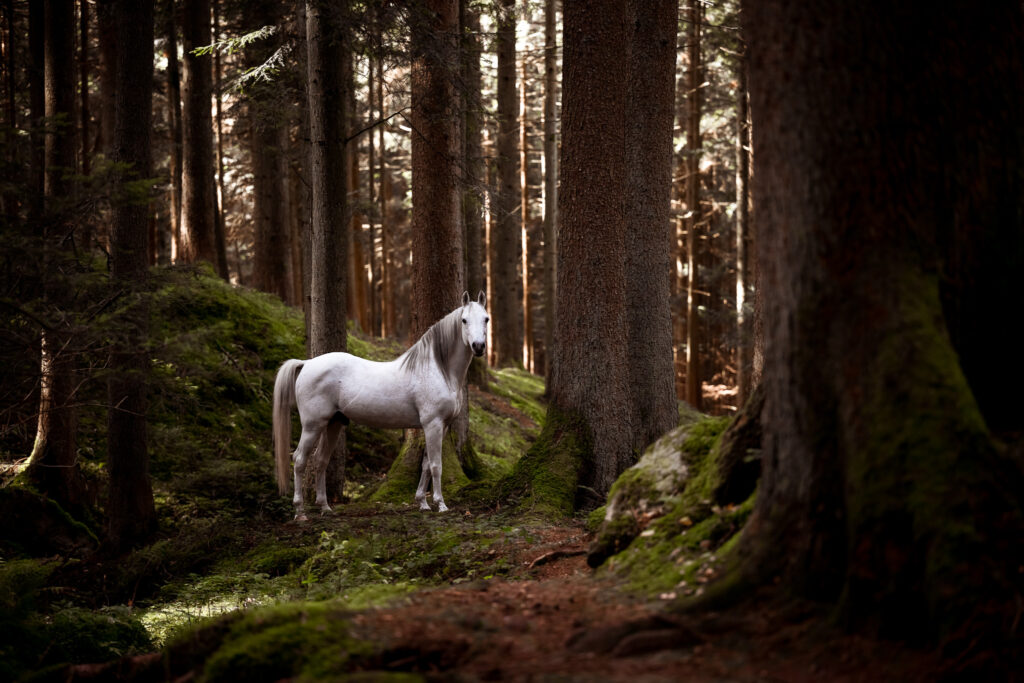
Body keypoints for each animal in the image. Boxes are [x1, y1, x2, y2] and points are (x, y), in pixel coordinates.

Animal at [273, 291, 489, 521]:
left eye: (486, 319)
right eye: (464, 320)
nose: (478, 347)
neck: (438, 370)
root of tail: (306, 364)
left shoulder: (440, 426)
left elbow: (425, 466)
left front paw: (422, 503)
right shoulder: (433, 425)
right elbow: (436, 465)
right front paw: (440, 504)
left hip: (333, 423)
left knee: (320, 460)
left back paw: (325, 507)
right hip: (313, 425)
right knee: (299, 460)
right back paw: (300, 512)